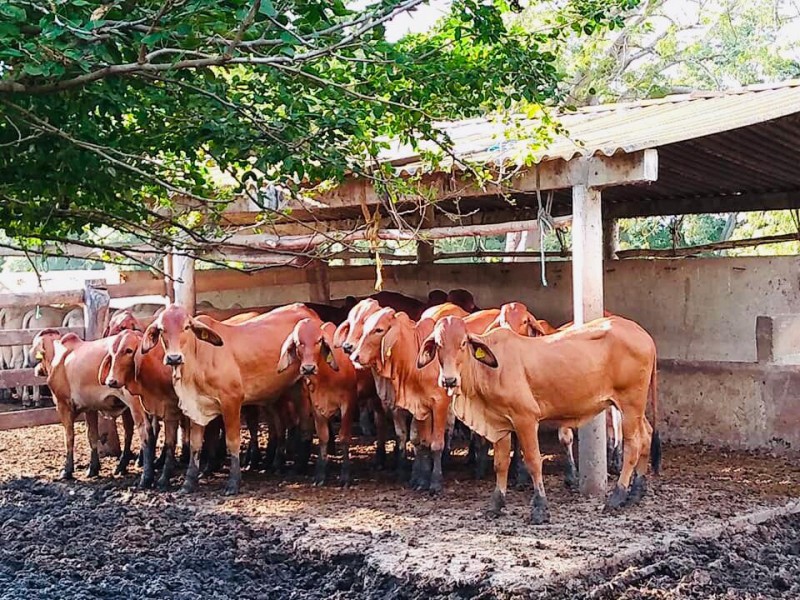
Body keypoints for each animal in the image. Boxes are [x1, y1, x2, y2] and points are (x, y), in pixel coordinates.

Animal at [141, 302, 316, 494]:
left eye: (186, 327)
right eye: (161, 329)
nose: (174, 357)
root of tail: (304, 308)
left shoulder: (231, 402)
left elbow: (232, 441)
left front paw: (233, 482)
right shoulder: (197, 406)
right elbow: (195, 444)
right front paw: (188, 483)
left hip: (304, 385)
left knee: (306, 424)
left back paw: (298, 466)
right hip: (284, 390)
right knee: (283, 424)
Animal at [416, 316, 660, 524]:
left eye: (463, 343)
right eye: (438, 344)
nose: (448, 380)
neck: (489, 370)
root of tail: (643, 334)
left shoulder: (526, 418)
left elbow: (534, 462)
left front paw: (540, 508)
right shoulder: (499, 423)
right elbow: (500, 464)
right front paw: (495, 504)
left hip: (630, 403)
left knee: (634, 444)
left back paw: (618, 496)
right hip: (634, 407)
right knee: (647, 436)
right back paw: (636, 492)